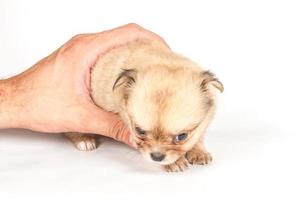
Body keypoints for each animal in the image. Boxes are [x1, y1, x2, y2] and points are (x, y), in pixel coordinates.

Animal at [63, 39, 223, 172]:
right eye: (139, 131)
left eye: (182, 136)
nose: (157, 156)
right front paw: (174, 162)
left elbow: (198, 136)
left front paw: (198, 151)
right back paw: (84, 140)